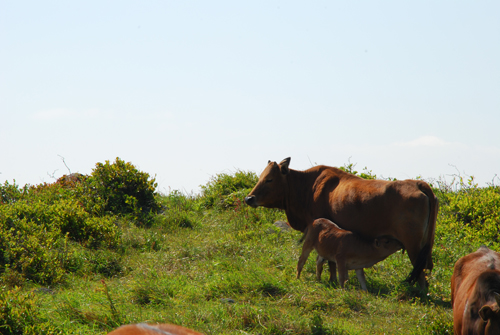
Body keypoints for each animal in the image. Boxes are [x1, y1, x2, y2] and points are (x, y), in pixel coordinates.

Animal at [245, 159, 438, 288]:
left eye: (270, 179)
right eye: (261, 176)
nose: (249, 198)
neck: (308, 187)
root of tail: (418, 184)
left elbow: (327, 262)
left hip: (413, 247)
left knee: (420, 273)